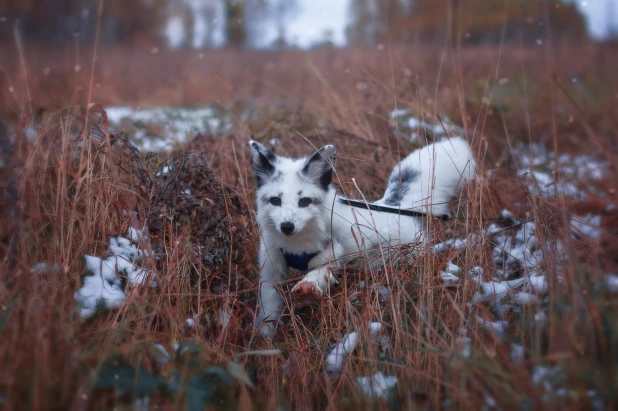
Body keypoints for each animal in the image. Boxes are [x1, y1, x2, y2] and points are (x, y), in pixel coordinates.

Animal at [248, 137, 474, 340]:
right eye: (275, 200)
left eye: (304, 201)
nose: (287, 226)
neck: (296, 245)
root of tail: (395, 206)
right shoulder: (271, 275)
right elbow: (268, 313)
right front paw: (266, 341)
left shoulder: (331, 259)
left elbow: (316, 275)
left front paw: (306, 287)